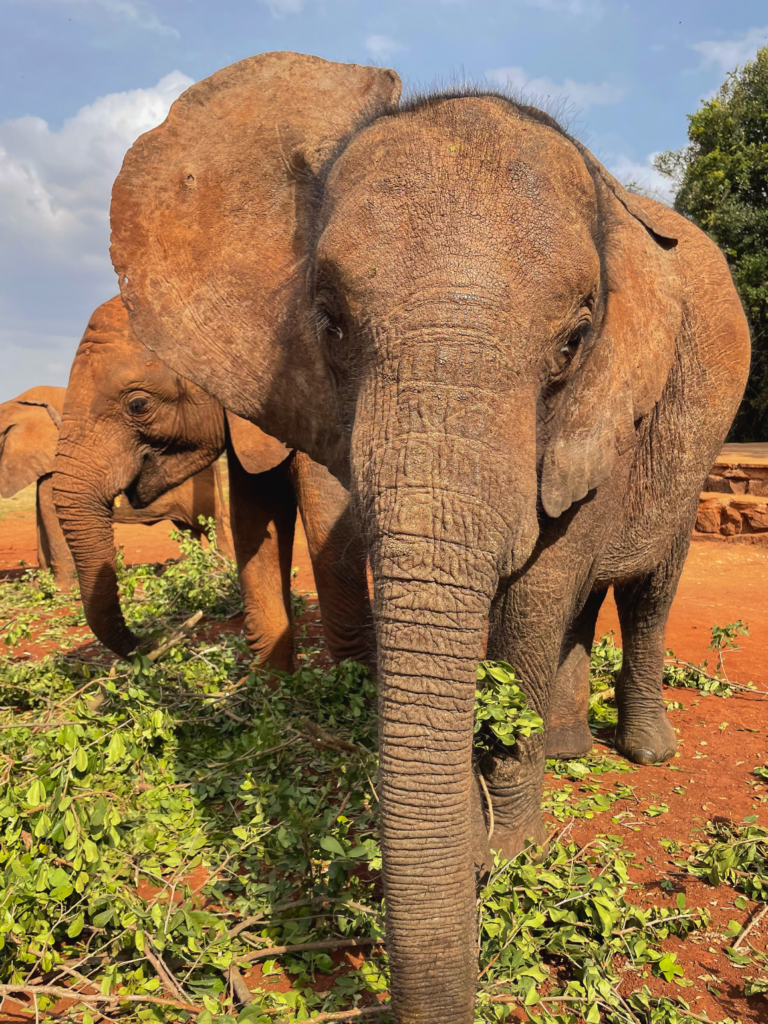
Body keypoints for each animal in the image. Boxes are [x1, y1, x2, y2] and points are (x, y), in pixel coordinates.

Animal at [0, 385, 227, 593]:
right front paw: (37, 587)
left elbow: (52, 517)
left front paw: (61, 590)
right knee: (188, 530)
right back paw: (182, 572)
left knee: (213, 524)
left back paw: (222, 570)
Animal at [108, 54, 753, 1024]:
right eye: (329, 320)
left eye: (575, 339)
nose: (475, 858)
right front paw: (494, 838)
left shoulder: (606, 406)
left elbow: (534, 599)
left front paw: (512, 851)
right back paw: (570, 749)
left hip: (693, 443)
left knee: (646, 587)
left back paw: (642, 752)